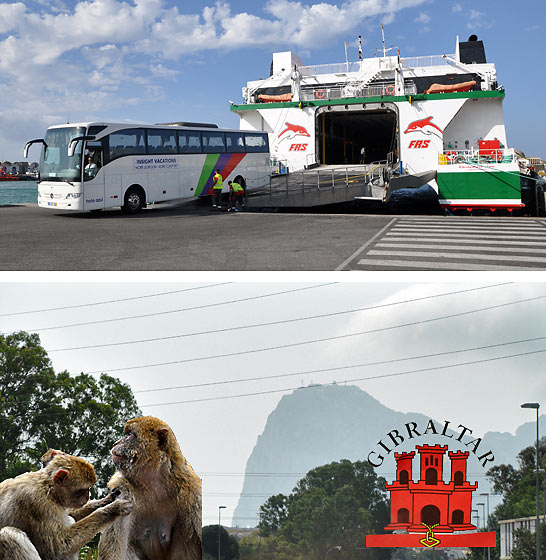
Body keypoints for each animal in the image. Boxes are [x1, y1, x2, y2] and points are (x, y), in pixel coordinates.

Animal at [0, 450, 131, 560]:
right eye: (83, 490)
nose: (88, 496)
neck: (47, 487)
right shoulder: (38, 503)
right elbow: (59, 547)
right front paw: (112, 509)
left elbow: (71, 513)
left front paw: (108, 499)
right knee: (8, 534)